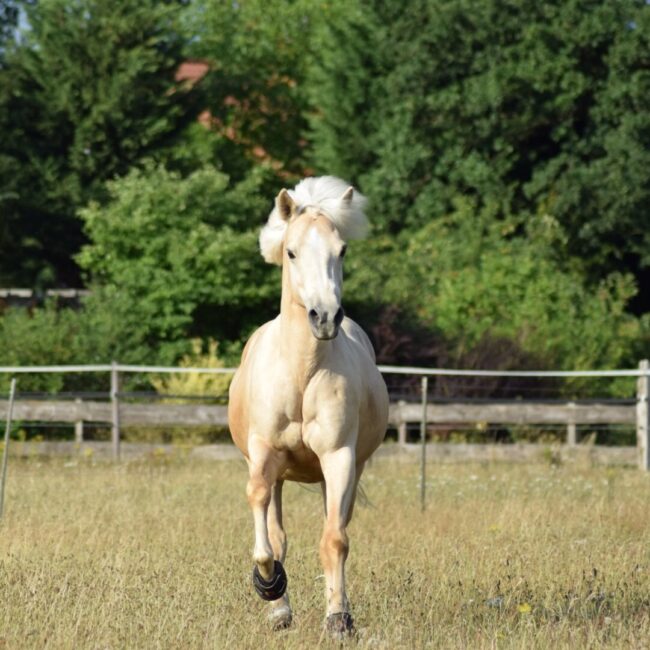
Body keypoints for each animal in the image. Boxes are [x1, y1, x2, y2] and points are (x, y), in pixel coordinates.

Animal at [228, 175, 388, 636]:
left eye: (342, 250)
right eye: (292, 251)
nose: (326, 318)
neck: (301, 372)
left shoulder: (339, 457)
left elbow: (335, 539)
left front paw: (338, 619)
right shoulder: (263, 455)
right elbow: (267, 537)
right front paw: (269, 586)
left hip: (339, 471)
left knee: (334, 526)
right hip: (281, 471)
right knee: (277, 530)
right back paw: (279, 608)